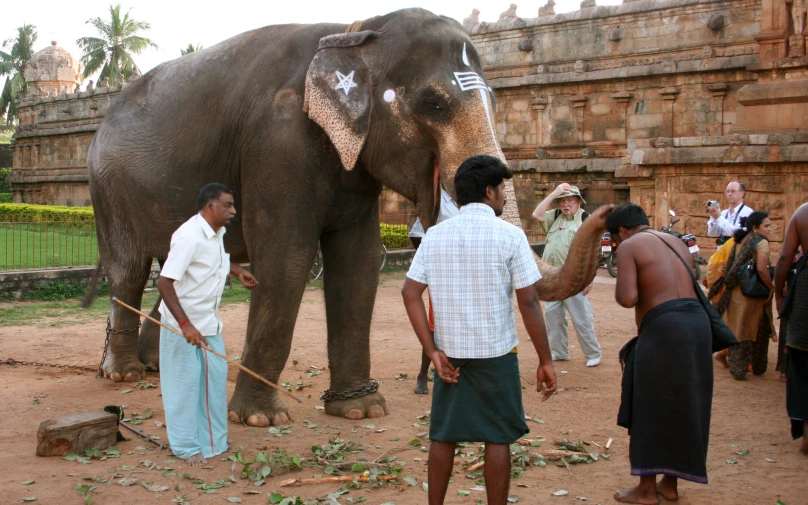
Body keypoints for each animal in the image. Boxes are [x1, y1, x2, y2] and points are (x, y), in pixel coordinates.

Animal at [88, 7, 608, 426]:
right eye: (434, 104)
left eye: (498, 104)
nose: (601, 212)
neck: (354, 33)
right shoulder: (276, 143)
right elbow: (287, 262)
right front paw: (259, 420)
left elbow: (359, 263)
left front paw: (360, 410)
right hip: (107, 188)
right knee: (128, 270)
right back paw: (123, 373)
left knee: (167, 273)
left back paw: (157, 366)